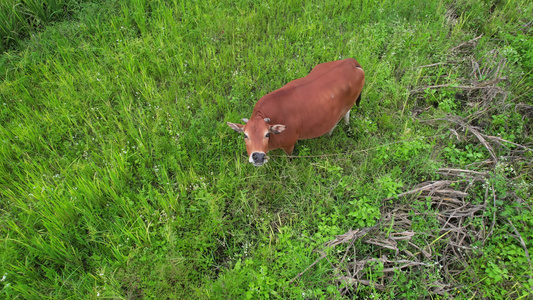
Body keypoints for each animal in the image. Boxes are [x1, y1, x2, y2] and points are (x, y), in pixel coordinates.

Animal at [227, 58, 364, 166]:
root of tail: (350, 62)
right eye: (245, 135)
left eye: (266, 134)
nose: (258, 157)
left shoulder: (289, 144)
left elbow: (289, 158)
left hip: (348, 104)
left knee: (344, 114)